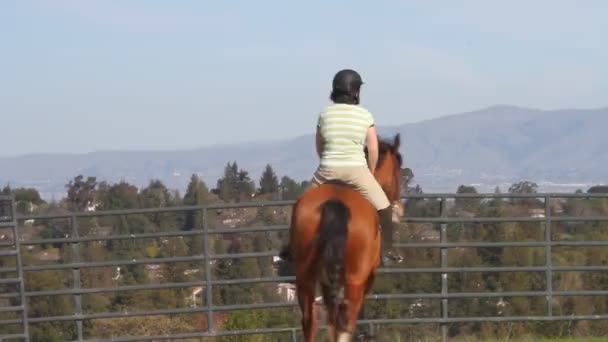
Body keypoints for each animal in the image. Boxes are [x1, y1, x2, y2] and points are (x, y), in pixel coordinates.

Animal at [280, 134, 404, 342]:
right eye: (398, 171)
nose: (398, 203)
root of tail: (335, 202)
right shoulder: (367, 277)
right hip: (355, 278)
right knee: (347, 316)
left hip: (305, 275)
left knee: (310, 318)